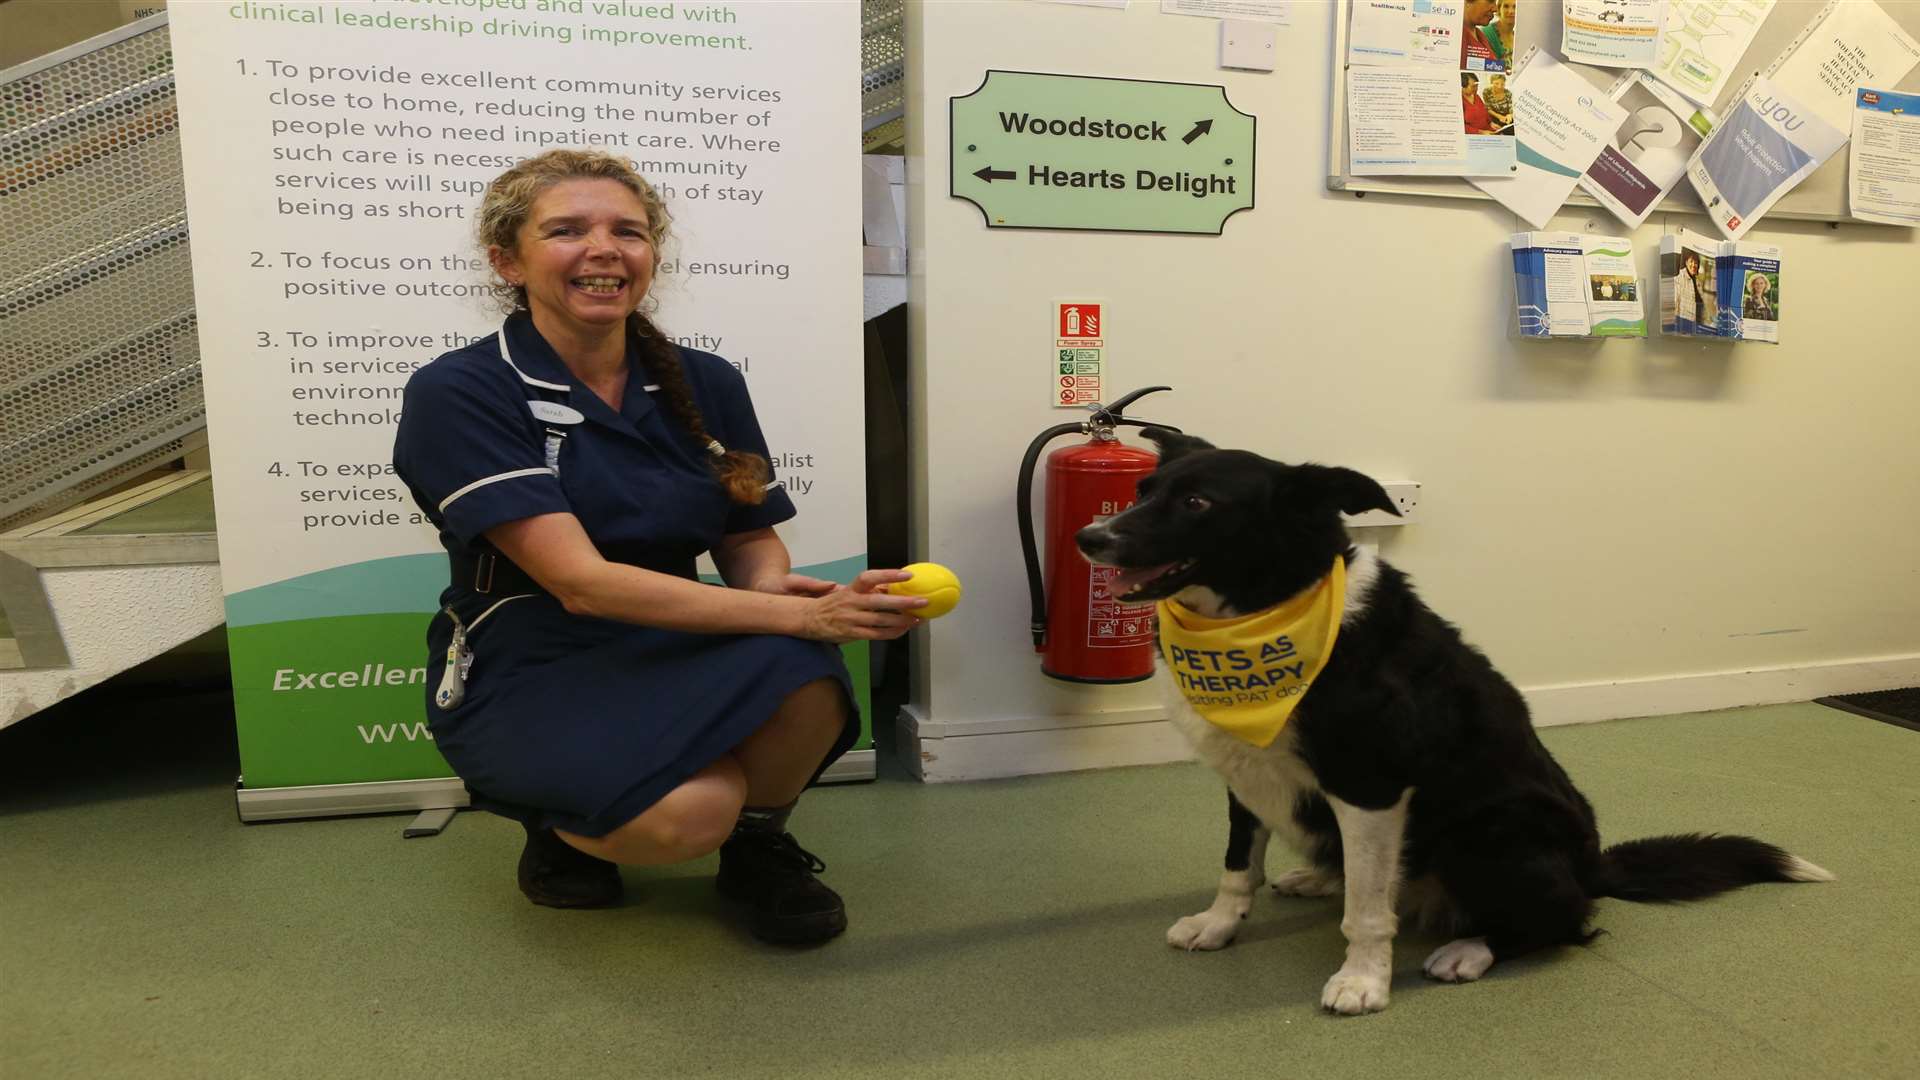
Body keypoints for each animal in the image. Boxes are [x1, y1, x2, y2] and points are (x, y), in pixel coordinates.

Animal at [1082, 428, 1827, 1006]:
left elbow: (1367, 915)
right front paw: (1219, 926)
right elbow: (1239, 866)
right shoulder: (1245, 771)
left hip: (1497, 830)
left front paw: (1363, 982)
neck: (1266, 611)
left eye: (1197, 503)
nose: (1090, 536)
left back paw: (1471, 949)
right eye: (1143, 489)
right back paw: (1320, 877)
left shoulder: (1372, 786)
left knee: (1564, 922)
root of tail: (1592, 867)